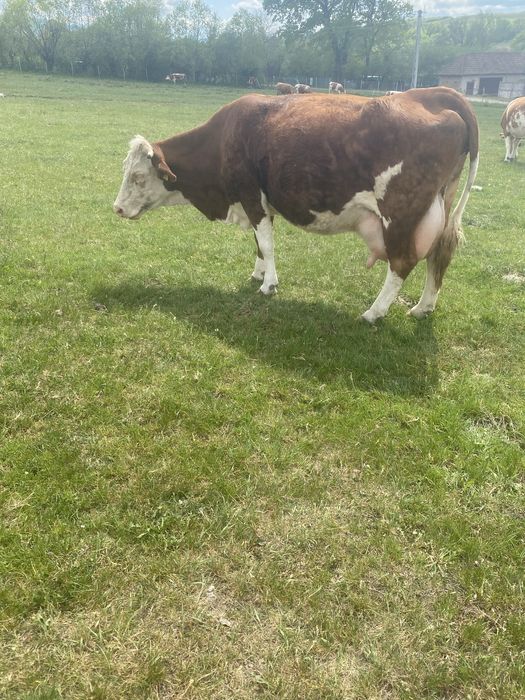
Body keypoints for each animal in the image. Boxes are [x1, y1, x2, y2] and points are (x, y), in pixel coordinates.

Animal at [113, 87, 479, 323]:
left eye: (138, 177)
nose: (116, 209)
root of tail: (430, 95)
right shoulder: (258, 201)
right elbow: (259, 243)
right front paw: (258, 273)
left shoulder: (251, 194)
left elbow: (267, 244)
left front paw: (268, 284)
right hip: (438, 207)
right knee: (438, 255)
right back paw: (423, 307)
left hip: (400, 213)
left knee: (402, 262)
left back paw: (374, 312)